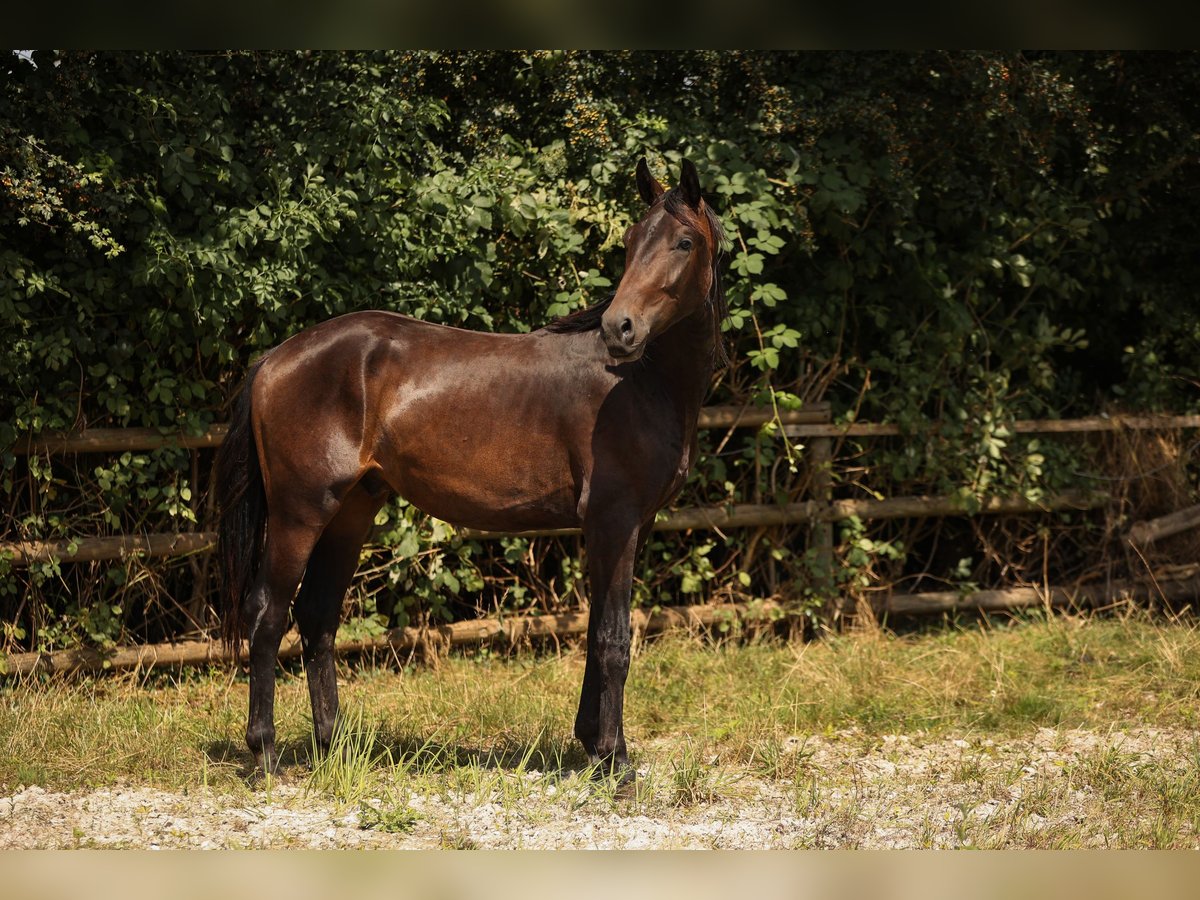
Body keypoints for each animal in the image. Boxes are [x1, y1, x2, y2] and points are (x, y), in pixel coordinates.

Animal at [211, 157, 724, 782]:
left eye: (683, 242)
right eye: (630, 241)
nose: (617, 329)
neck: (640, 383)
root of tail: (273, 359)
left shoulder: (624, 527)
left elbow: (595, 630)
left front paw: (593, 746)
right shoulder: (615, 522)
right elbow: (613, 638)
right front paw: (617, 763)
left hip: (351, 512)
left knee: (317, 617)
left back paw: (333, 746)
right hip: (300, 512)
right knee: (268, 614)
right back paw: (264, 752)